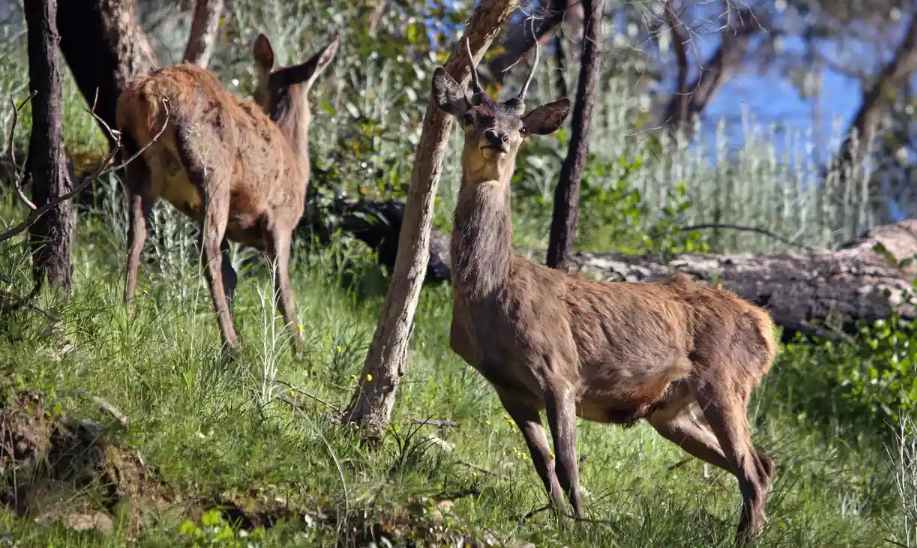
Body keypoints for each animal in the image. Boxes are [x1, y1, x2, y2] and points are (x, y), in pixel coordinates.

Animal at [115, 33, 338, 354]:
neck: (297, 159)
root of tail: (151, 93)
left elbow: (233, 276)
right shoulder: (280, 221)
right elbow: (282, 286)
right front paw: (301, 353)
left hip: (137, 162)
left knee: (136, 235)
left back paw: (128, 312)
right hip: (213, 168)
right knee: (206, 248)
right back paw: (232, 345)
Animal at [431, 38, 779, 545]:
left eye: (522, 127)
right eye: (472, 114)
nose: (498, 137)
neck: (492, 295)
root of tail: (766, 328)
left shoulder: (558, 370)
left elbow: (569, 464)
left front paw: (581, 527)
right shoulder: (508, 388)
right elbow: (543, 465)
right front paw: (559, 522)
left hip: (725, 378)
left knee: (752, 468)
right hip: (672, 411)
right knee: (761, 465)